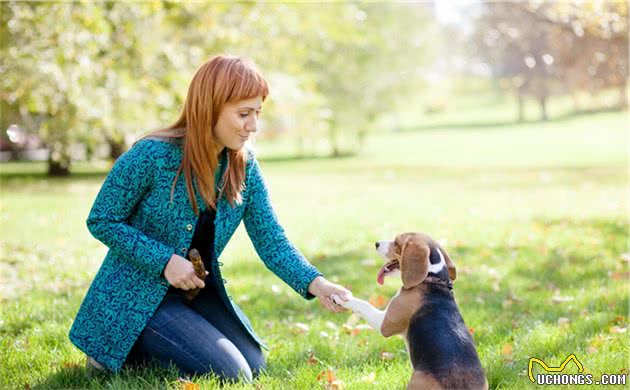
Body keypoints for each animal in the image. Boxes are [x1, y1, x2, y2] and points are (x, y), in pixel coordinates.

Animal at [336, 233, 488, 388]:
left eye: (396, 242)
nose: (376, 243)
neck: (431, 278)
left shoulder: (385, 324)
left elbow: (364, 304)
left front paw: (343, 297)